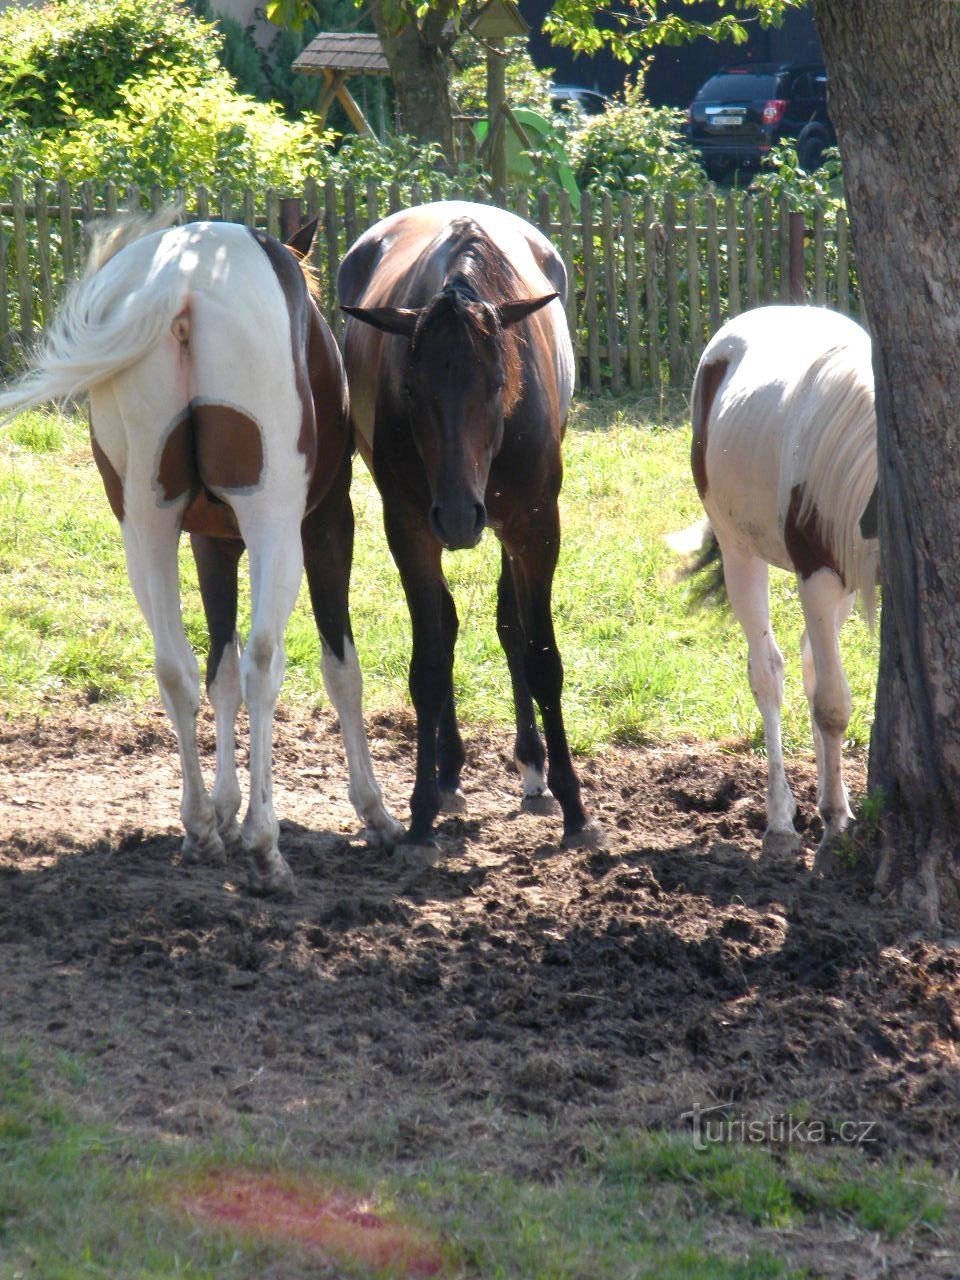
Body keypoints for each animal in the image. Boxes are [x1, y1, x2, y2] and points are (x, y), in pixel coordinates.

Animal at [0, 207, 404, 890]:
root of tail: (182, 283)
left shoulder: (211, 543)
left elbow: (219, 674)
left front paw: (223, 809)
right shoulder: (326, 525)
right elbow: (336, 668)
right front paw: (371, 810)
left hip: (146, 525)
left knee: (176, 667)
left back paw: (199, 829)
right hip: (273, 524)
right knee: (263, 661)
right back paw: (265, 847)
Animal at [335, 202, 593, 860]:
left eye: (497, 383)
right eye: (411, 388)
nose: (457, 516)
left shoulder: (536, 524)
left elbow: (540, 654)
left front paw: (576, 810)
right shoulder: (408, 525)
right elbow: (430, 659)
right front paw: (422, 812)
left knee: (511, 626)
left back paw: (533, 770)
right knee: (447, 630)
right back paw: (449, 772)